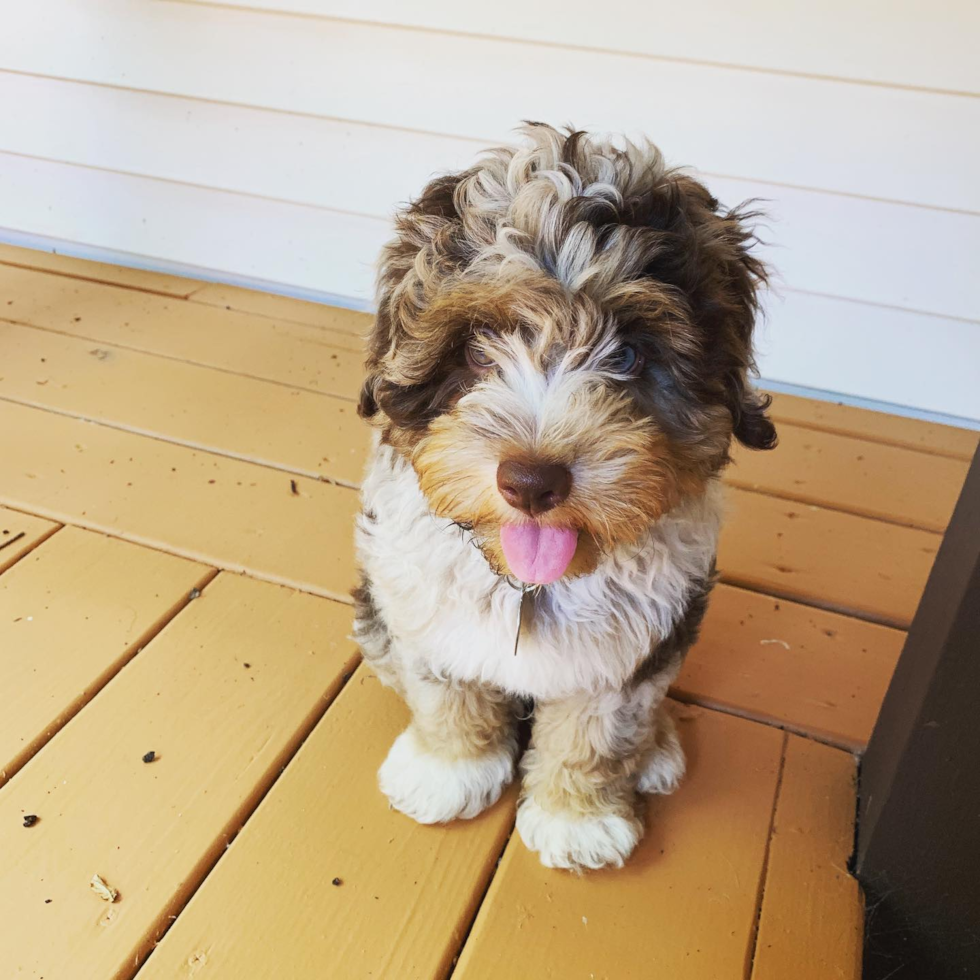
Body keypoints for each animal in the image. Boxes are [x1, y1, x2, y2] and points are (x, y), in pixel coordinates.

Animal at [350, 124, 772, 872]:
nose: (531, 481)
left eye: (628, 355)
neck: (529, 581)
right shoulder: (420, 609)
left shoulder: (634, 646)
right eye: (478, 350)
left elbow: (595, 730)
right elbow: (444, 693)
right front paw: (448, 770)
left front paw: (579, 818)